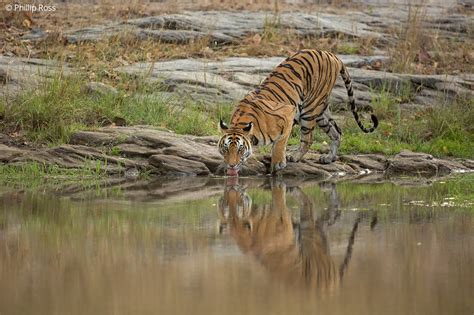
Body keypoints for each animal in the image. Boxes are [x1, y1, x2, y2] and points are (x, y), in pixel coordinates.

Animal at [218, 50, 378, 177]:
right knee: (337, 131)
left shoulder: (288, 114)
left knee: (308, 139)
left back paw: (295, 156)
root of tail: (331, 54)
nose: (231, 165)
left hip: (309, 109)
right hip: (320, 110)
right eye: (226, 149)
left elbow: (279, 144)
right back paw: (329, 158)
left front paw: (278, 164)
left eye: (240, 149)